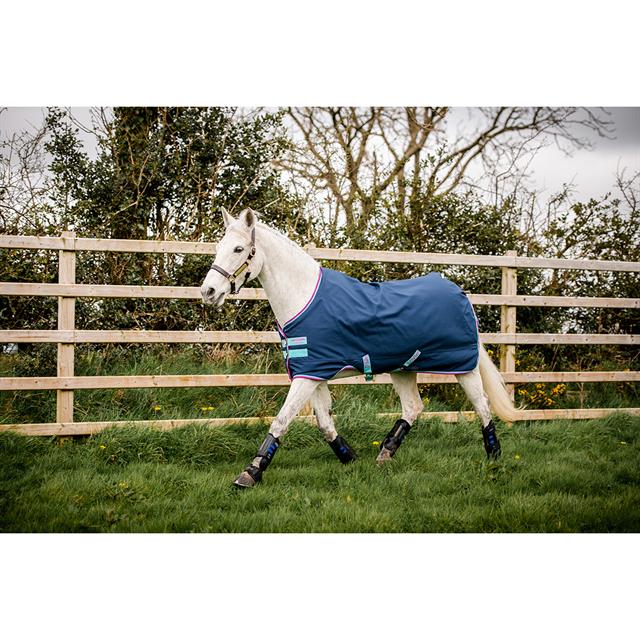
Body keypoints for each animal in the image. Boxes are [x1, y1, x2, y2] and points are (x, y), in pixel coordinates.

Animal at [200, 207, 519, 488]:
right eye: (219, 247)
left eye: (239, 249)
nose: (208, 292)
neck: (303, 298)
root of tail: (459, 292)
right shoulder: (313, 372)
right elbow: (324, 423)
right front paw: (349, 457)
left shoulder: (307, 377)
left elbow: (281, 420)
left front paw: (250, 474)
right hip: (403, 368)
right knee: (413, 407)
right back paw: (385, 453)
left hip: (463, 366)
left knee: (482, 405)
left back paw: (494, 456)